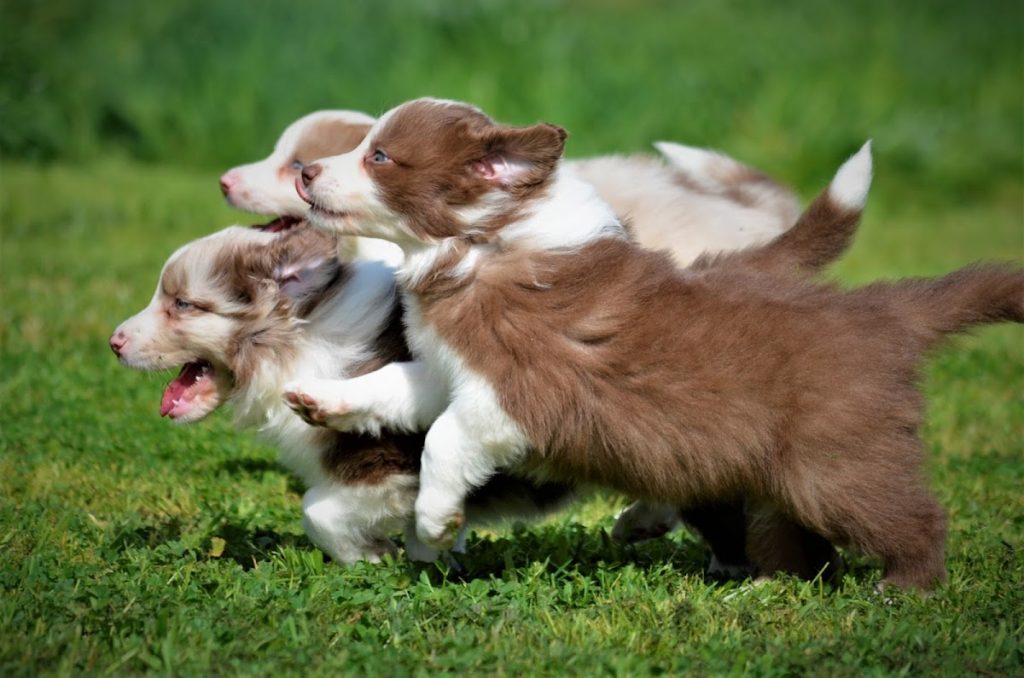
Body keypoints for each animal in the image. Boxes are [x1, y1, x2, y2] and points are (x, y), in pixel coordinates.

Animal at [290, 98, 1023, 588]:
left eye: (379, 156)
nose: (304, 173)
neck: (482, 243)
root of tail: (883, 310)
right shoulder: (450, 369)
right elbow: (395, 385)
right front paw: (321, 398)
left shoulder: (519, 390)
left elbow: (444, 437)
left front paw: (436, 522)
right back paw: (763, 586)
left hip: (836, 462)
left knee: (910, 518)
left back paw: (903, 589)